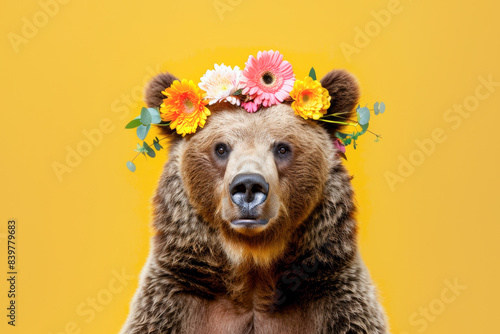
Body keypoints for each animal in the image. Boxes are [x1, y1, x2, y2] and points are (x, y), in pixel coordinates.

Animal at [120, 69, 386, 332]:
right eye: (221, 148)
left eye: (282, 148)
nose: (248, 186)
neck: (253, 264)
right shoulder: (173, 300)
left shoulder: (335, 298)